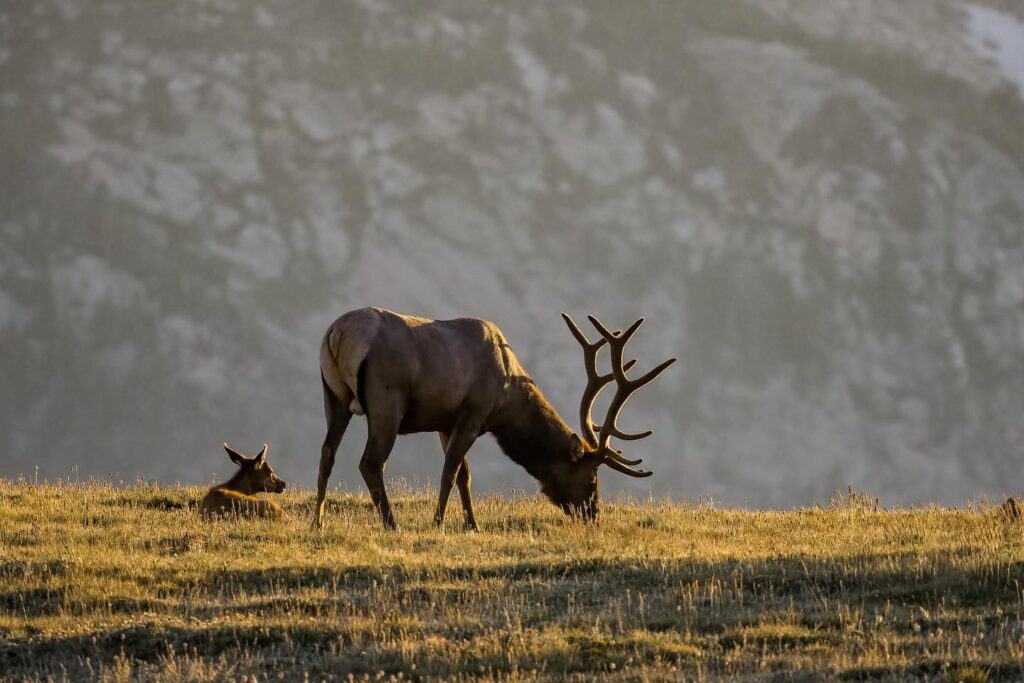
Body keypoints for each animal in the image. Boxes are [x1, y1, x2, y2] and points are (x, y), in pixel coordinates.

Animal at [315, 307, 675, 532]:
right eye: (591, 479)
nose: (592, 514)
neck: (507, 397)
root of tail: (338, 334)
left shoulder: (446, 421)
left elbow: (464, 475)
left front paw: (471, 525)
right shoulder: (473, 413)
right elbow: (451, 472)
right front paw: (438, 523)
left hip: (333, 396)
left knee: (327, 453)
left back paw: (317, 522)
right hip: (387, 399)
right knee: (371, 462)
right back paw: (392, 523)